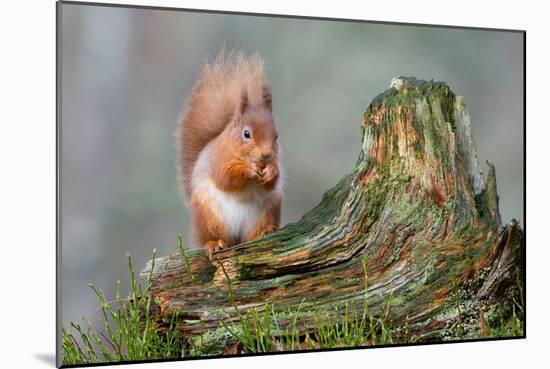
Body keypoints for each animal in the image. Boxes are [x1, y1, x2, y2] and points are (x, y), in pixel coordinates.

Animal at [178, 51, 284, 258]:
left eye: (276, 135)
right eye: (246, 134)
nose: (266, 155)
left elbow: (272, 182)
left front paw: (271, 172)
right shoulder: (218, 160)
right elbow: (226, 178)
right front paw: (249, 170)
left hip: (268, 209)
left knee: (251, 236)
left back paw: (264, 232)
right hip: (209, 216)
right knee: (217, 237)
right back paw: (214, 243)